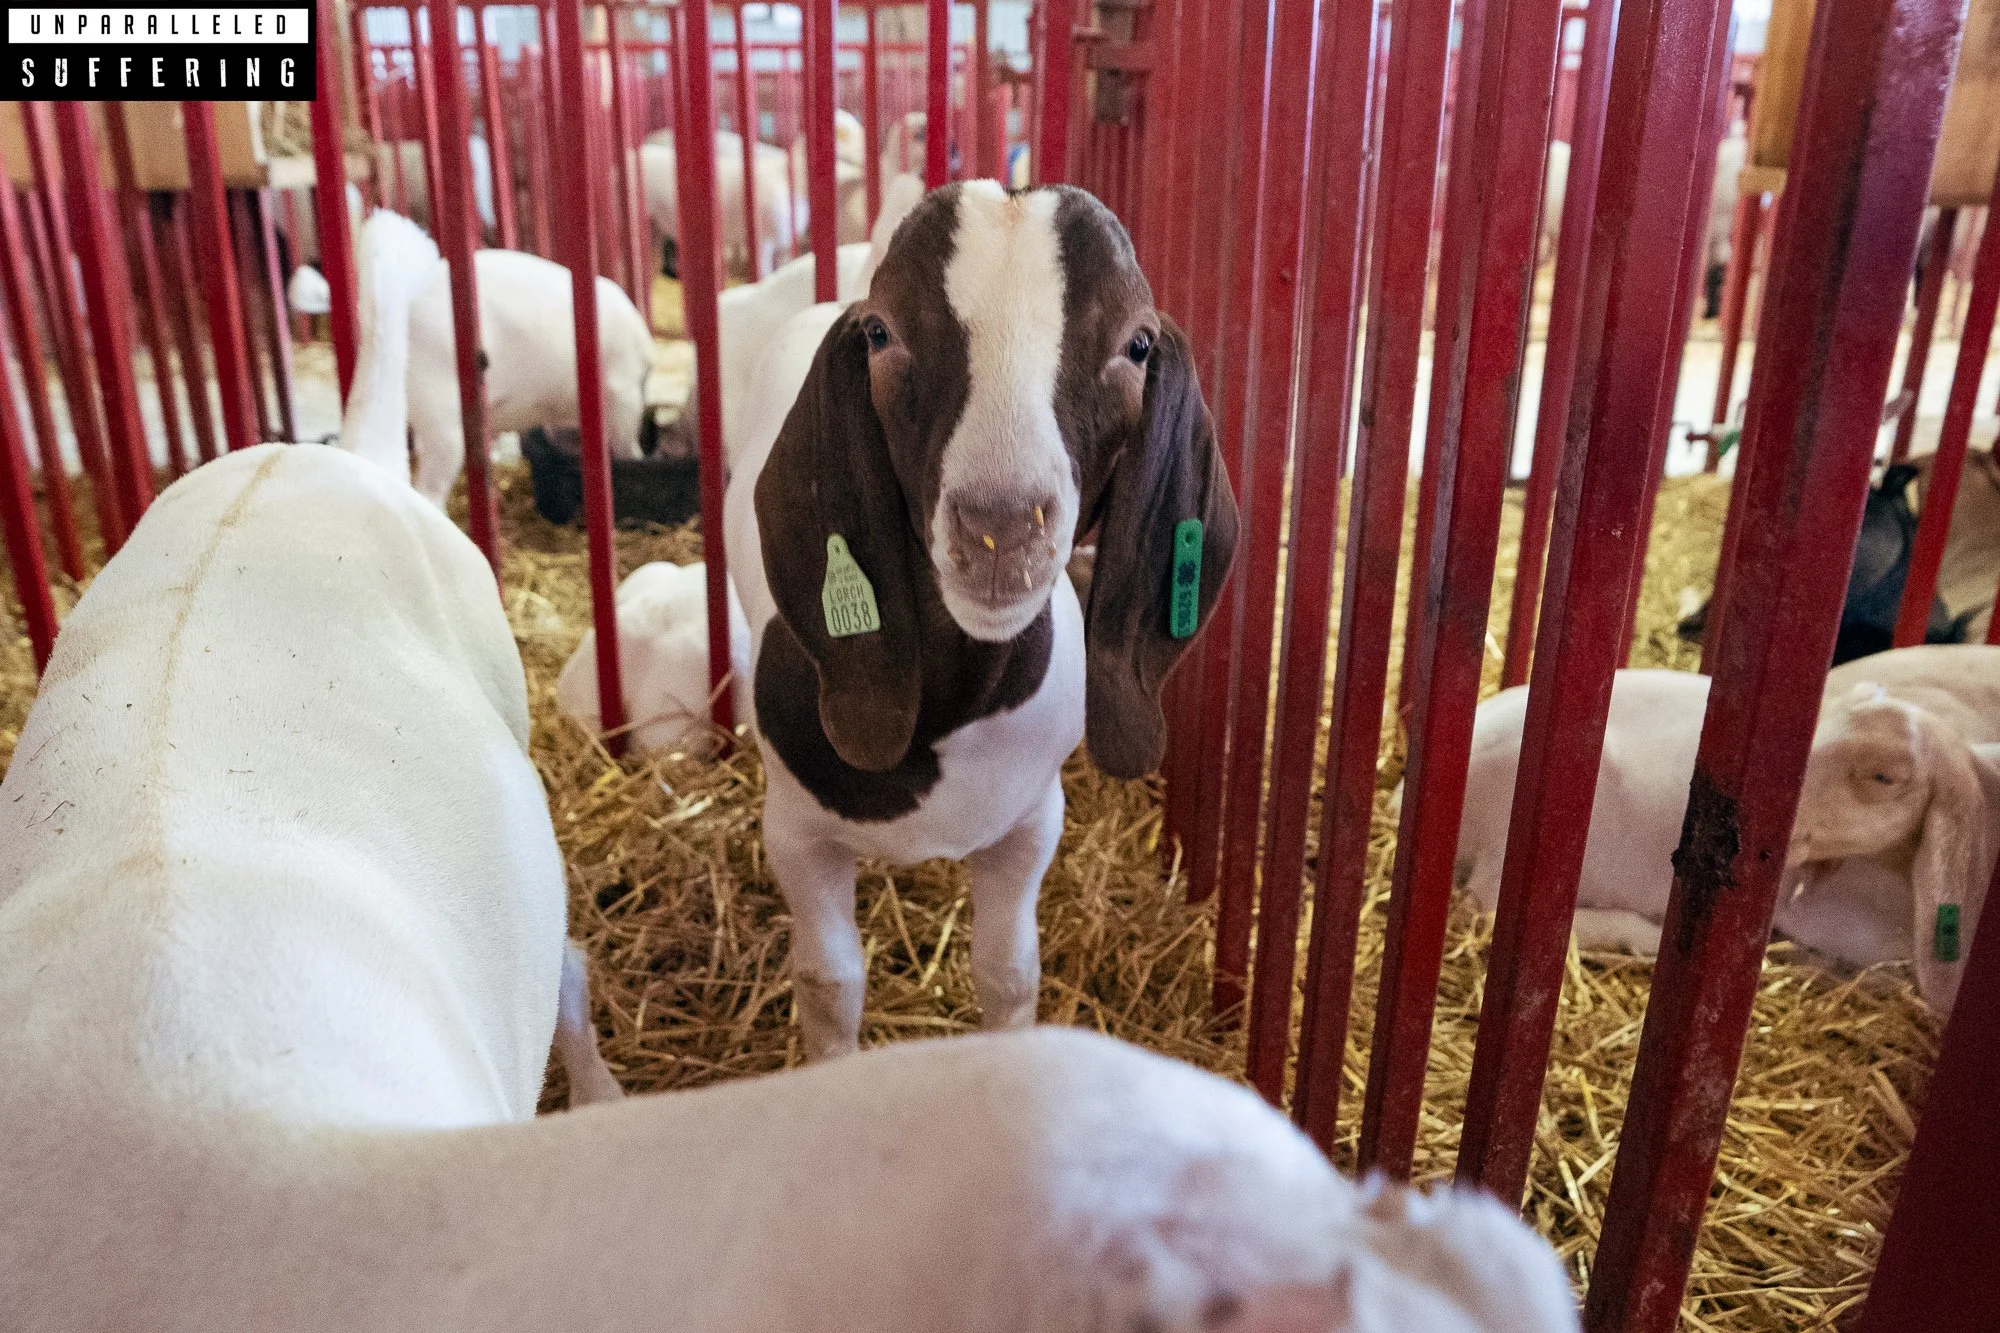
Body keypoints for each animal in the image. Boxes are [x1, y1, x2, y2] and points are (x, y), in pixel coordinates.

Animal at [721, 181, 1240, 1061]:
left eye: (1137, 344)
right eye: (881, 333)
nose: (1001, 527)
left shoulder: (1030, 823)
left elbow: (1008, 971)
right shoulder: (796, 833)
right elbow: (831, 984)